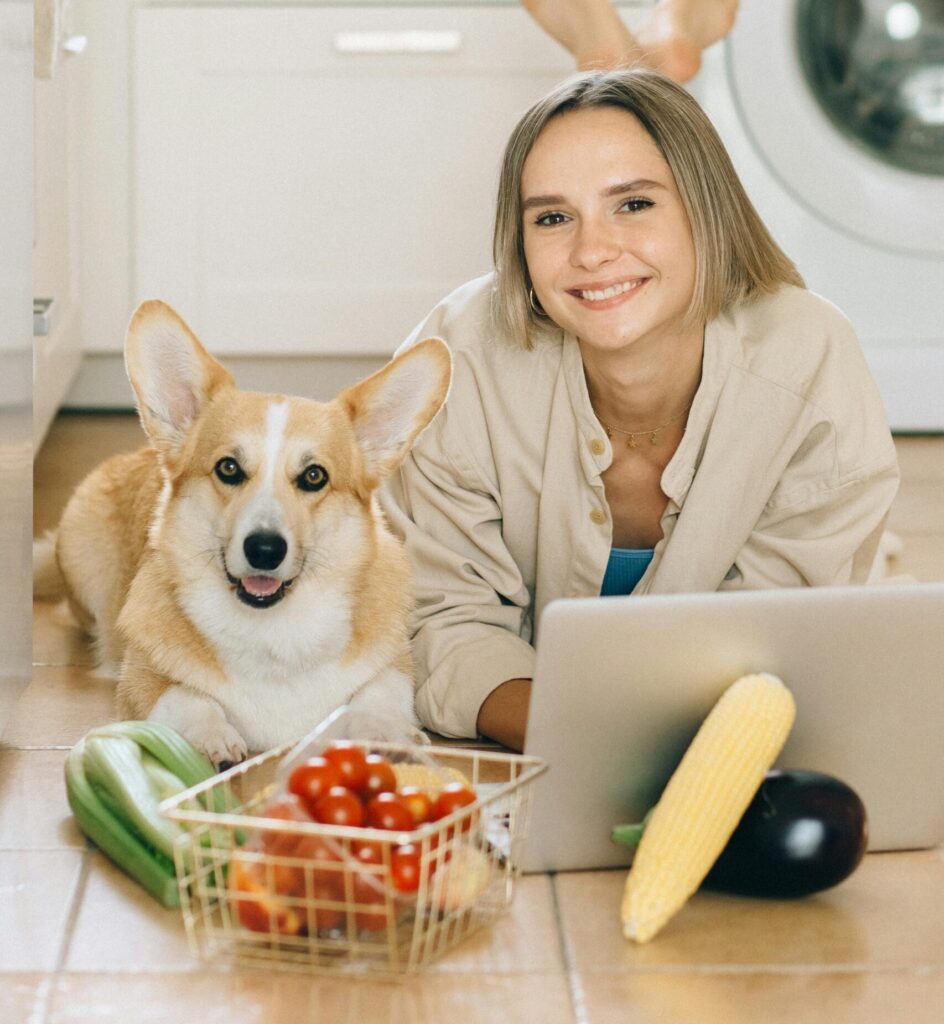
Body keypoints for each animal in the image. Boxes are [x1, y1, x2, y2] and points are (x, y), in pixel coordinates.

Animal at [35, 299, 448, 765]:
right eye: (228, 468)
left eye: (314, 476)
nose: (264, 550)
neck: (273, 635)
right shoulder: (140, 680)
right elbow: (184, 696)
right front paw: (210, 737)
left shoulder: (395, 665)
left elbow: (381, 694)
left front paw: (384, 734)